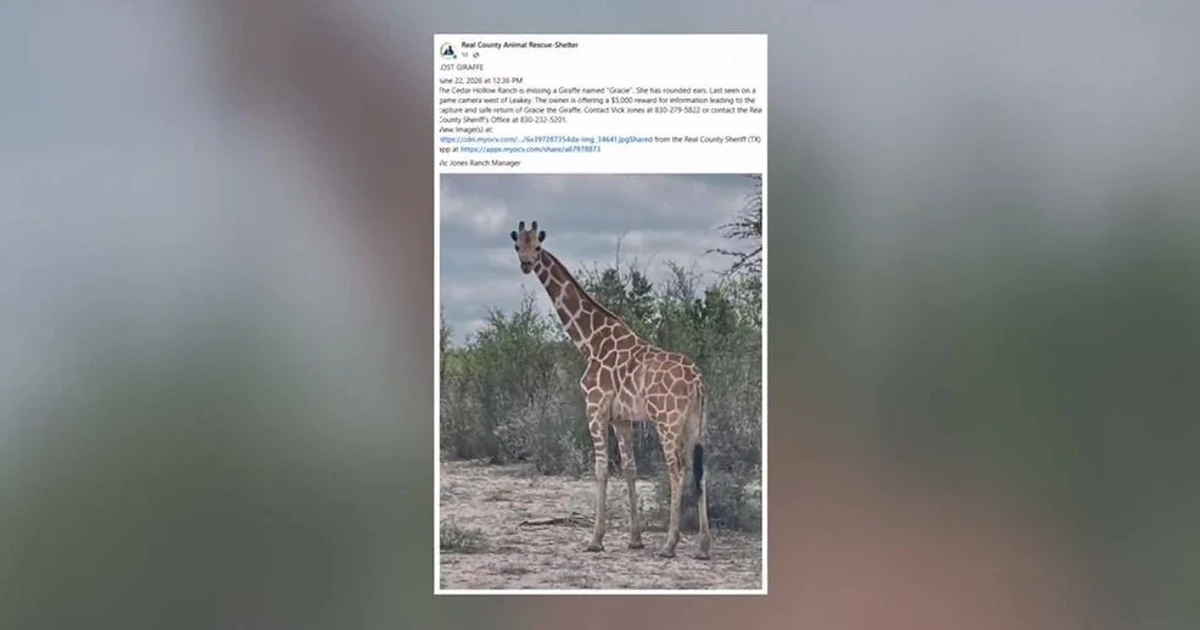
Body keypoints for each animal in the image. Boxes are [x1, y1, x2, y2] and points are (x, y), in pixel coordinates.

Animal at [510, 220, 711, 560]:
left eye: (537, 246)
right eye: (517, 246)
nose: (525, 264)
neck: (590, 341)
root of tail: (697, 380)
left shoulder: (595, 407)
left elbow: (602, 468)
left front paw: (595, 539)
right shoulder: (622, 417)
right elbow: (629, 468)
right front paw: (635, 539)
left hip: (667, 421)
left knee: (677, 470)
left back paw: (670, 544)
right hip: (694, 424)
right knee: (700, 471)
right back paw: (702, 547)